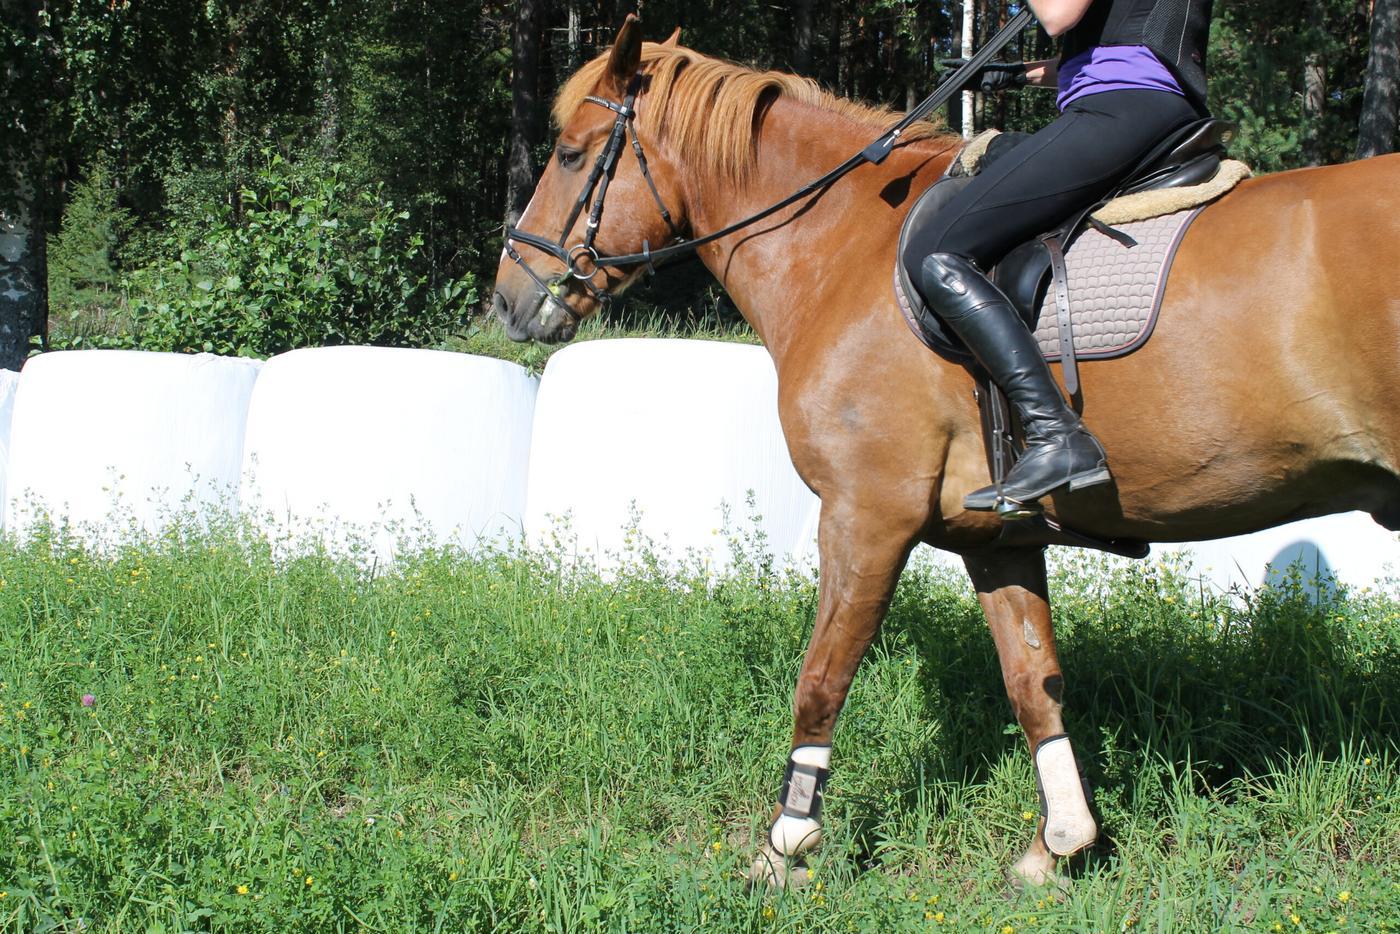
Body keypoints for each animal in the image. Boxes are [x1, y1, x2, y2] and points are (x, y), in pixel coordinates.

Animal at [490, 18, 1400, 890]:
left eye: (571, 152)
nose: (507, 300)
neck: (843, 243)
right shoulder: (997, 540)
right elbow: (1034, 684)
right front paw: (1058, 847)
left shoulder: (866, 513)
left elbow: (822, 679)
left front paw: (786, 848)